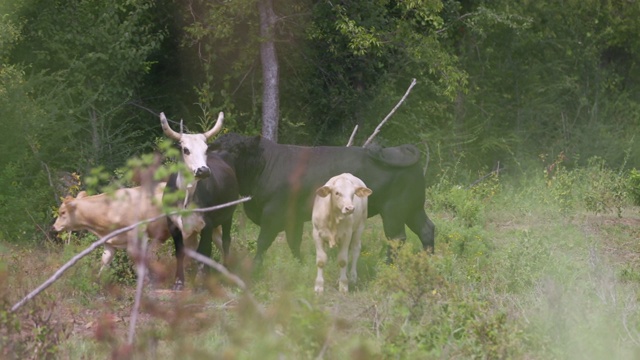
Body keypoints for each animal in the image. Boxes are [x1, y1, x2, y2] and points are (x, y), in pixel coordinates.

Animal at [210, 134, 436, 262]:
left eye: (238, 149)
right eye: (216, 147)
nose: (220, 160)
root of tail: (399, 149)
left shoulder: (273, 213)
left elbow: (263, 241)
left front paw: (256, 267)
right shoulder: (293, 217)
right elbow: (294, 242)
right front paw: (299, 264)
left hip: (394, 210)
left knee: (397, 238)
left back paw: (389, 265)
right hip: (412, 207)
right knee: (426, 229)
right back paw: (429, 260)